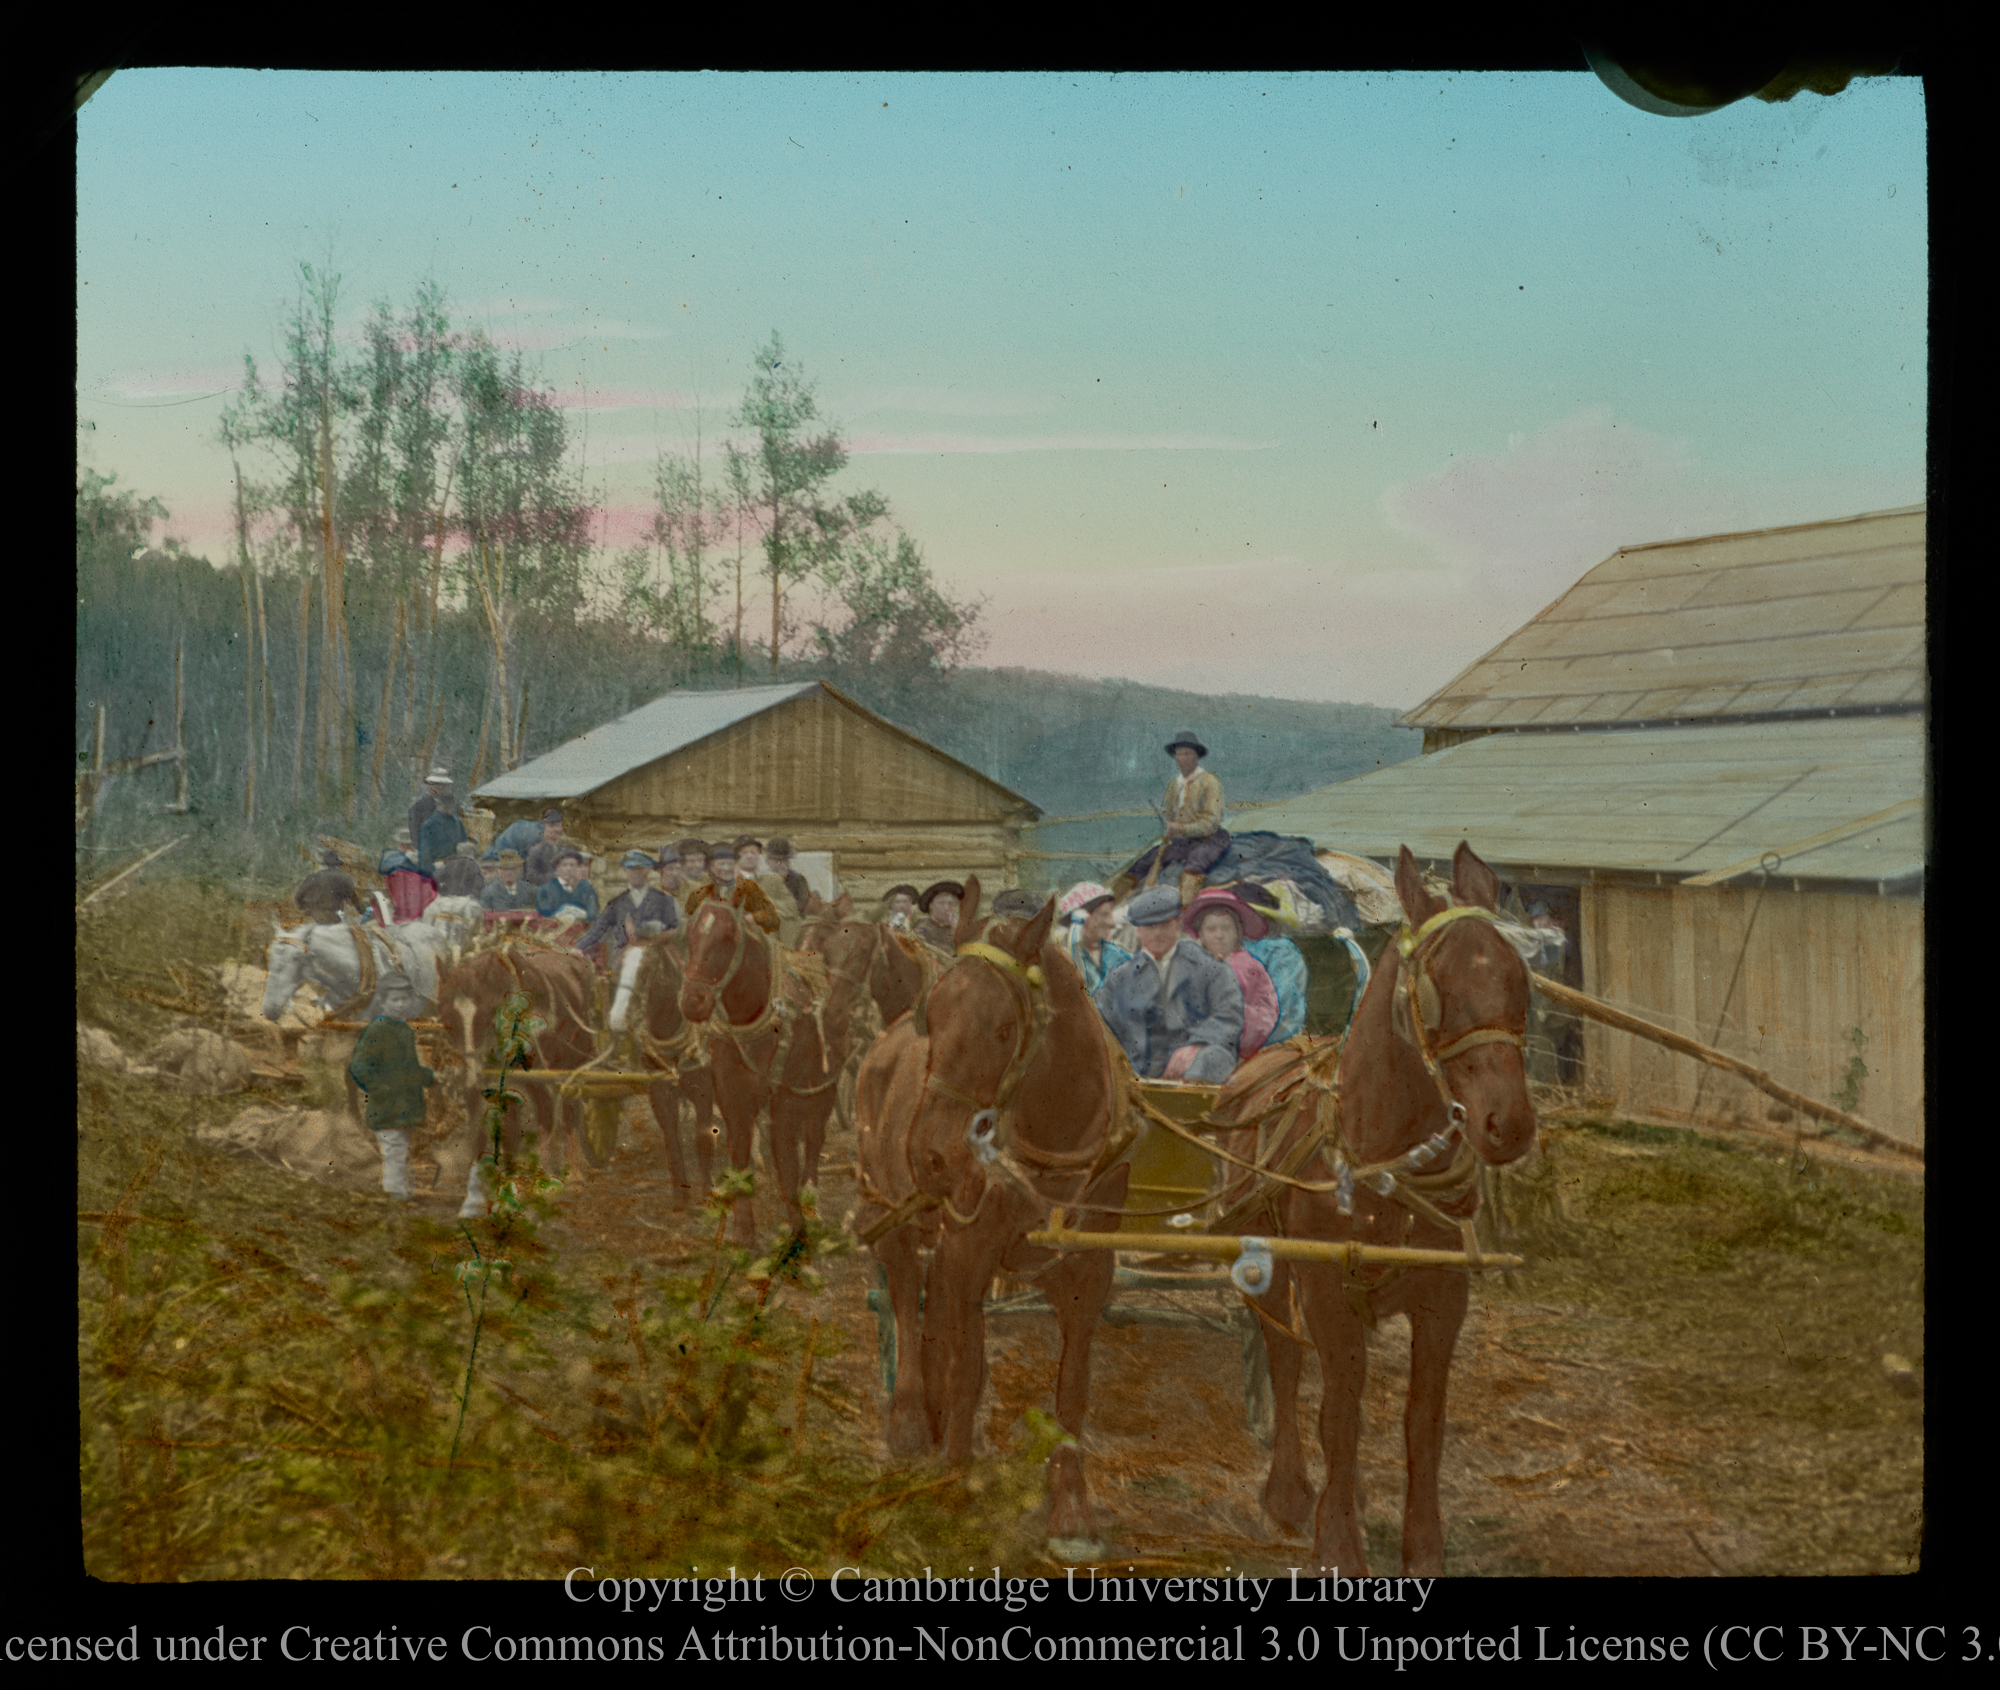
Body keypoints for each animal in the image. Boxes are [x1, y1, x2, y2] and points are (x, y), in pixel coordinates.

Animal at [434, 936, 596, 1200]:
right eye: (449, 1018)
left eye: (484, 1014)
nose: (470, 1073)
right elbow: (500, 1129)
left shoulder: (540, 1078)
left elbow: (546, 1120)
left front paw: (546, 1176)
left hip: (570, 1065)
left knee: (566, 1112)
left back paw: (574, 1170)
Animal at [868, 876, 1136, 1552]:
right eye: (934, 1015)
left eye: (1003, 1028)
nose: (932, 1155)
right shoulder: (970, 1247)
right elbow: (966, 1367)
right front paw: (951, 1482)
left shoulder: (1087, 1271)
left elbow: (1071, 1387)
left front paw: (1070, 1505)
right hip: (890, 1214)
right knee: (906, 1296)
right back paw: (910, 1418)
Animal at [1208, 836, 1536, 1576]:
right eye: (1437, 983)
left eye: (1517, 976)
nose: (1509, 1125)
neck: (1383, 1161)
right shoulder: (1327, 1293)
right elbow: (1339, 1413)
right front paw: (1337, 1539)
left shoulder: (1444, 1300)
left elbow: (1422, 1419)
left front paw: (1424, 1544)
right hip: (1266, 1267)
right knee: (1285, 1362)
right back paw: (1290, 1492)